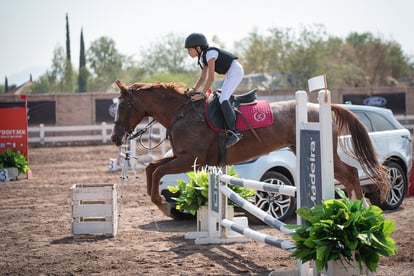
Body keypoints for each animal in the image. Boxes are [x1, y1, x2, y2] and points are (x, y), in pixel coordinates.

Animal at [111, 80, 388, 216]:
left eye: (122, 106)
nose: (115, 138)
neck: (181, 113)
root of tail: (325, 107)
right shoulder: (183, 157)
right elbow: (152, 168)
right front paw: (161, 203)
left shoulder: (190, 159)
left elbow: (157, 171)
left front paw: (162, 204)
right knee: (350, 174)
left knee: (351, 173)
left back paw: (359, 210)